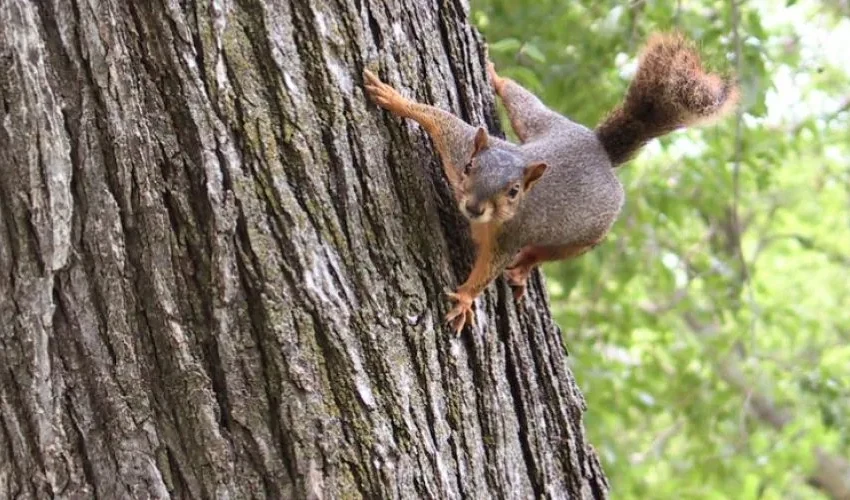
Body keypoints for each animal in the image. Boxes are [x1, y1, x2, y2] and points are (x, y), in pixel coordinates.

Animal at [364, 32, 738, 334]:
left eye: (513, 192)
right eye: (470, 166)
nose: (473, 207)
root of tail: (600, 150)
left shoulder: (510, 237)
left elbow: (487, 270)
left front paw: (466, 298)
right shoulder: (460, 145)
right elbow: (437, 118)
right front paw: (393, 97)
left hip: (588, 233)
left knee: (547, 252)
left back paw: (524, 267)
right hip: (540, 121)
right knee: (520, 99)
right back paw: (495, 76)